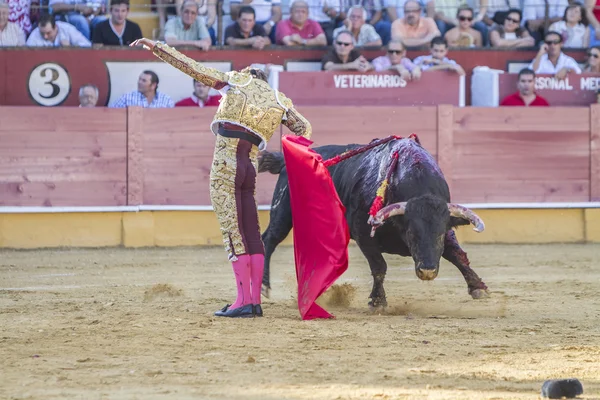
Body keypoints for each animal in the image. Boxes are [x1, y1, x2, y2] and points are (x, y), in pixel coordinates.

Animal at [256, 136, 488, 308]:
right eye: (412, 233)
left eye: (439, 233)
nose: (428, 271)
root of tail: (285, 160)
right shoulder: (363, 234)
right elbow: (379, 266)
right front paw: (377, 301)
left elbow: (458, 255)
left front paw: (478, 286)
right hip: (283, 212)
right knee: (269, 239)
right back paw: (264, 285)